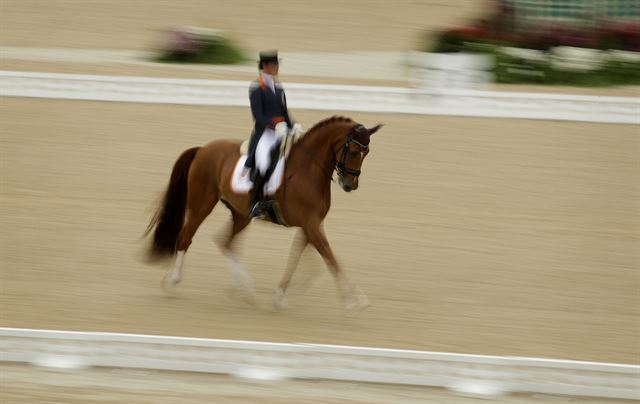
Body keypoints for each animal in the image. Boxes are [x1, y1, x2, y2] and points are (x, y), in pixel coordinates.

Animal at [146, 115, 382, 310]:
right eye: (354, 151)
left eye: (367, 153)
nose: (350, 185)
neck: (309, 168)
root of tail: (203, 149)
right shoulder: (311, 224)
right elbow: (329, 257)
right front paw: (354, 300)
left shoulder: (310, 225)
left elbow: (299, 259)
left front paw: (281, 296)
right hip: (201, 204)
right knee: (185, 237)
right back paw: (172, 283)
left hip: (241, 214)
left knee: (226, 242)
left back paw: (246, 291)